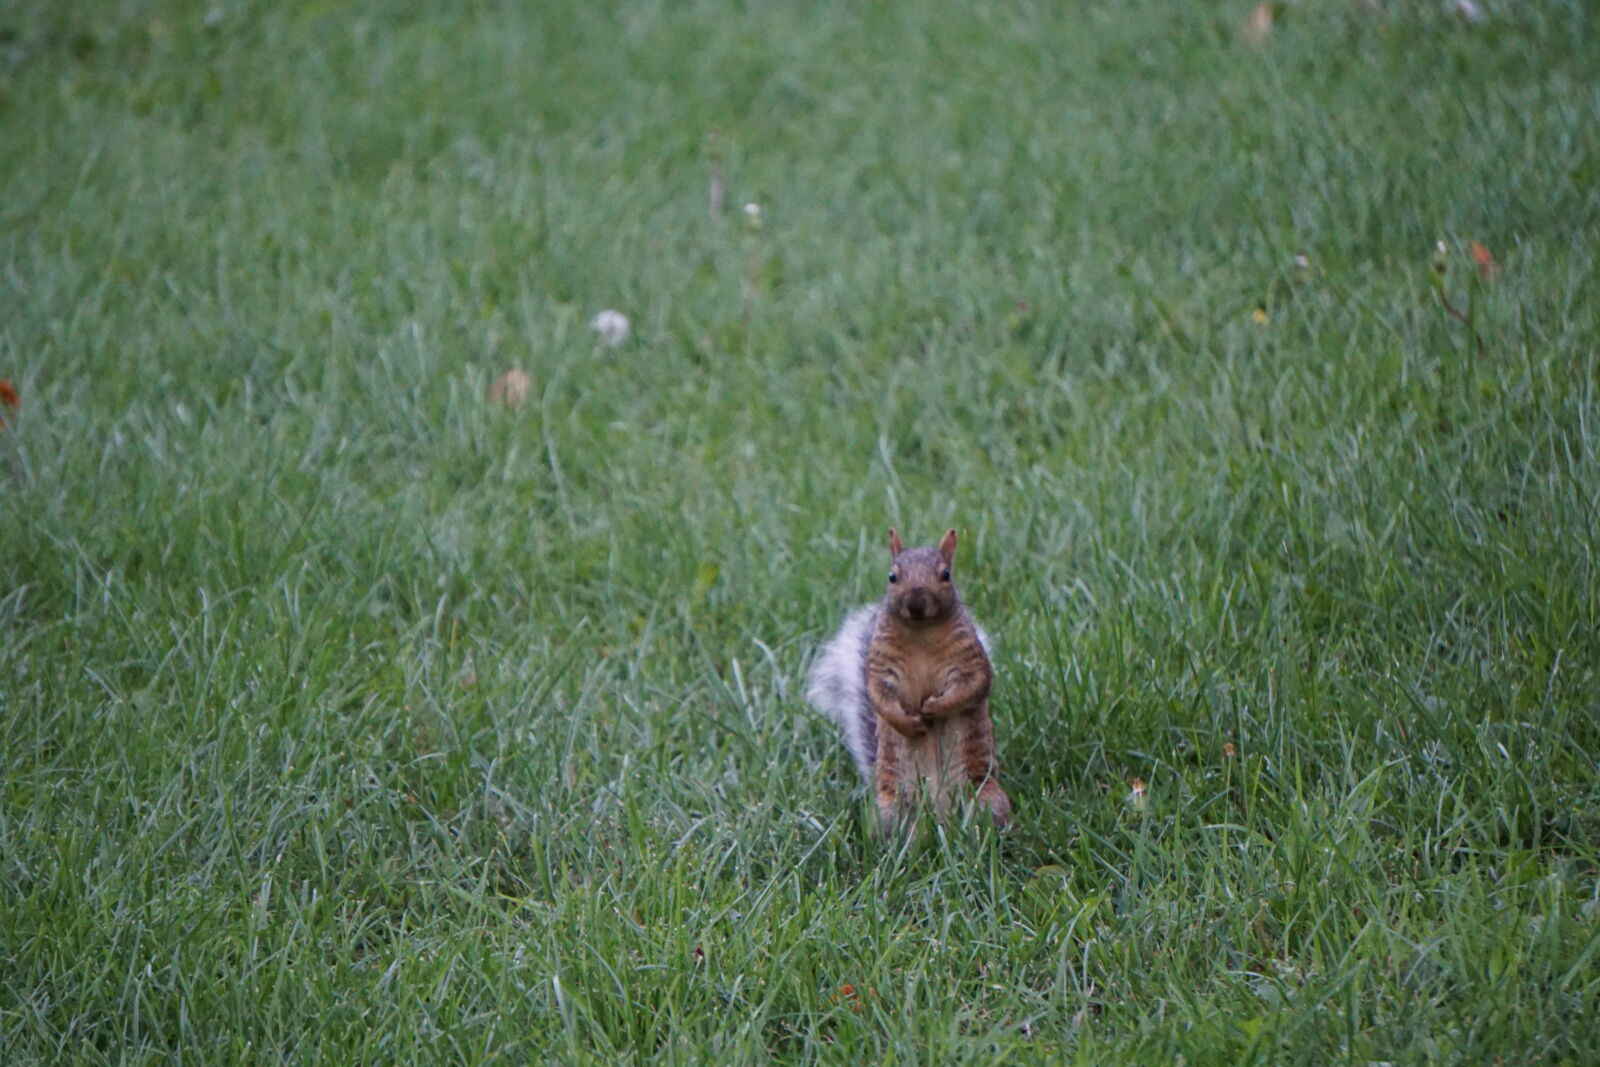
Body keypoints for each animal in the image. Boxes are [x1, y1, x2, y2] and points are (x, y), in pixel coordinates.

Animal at [800, 531, 1011, 831]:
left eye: (946, 574)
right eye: (892, 576)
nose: (916, 602)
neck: (921, 632)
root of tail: (939, 818)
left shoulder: (970, 661)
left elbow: (973, 686)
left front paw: (935, 707)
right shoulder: (880, 668)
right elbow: (879, 698)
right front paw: (909, 723)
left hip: (984, 799)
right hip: (891, 810)